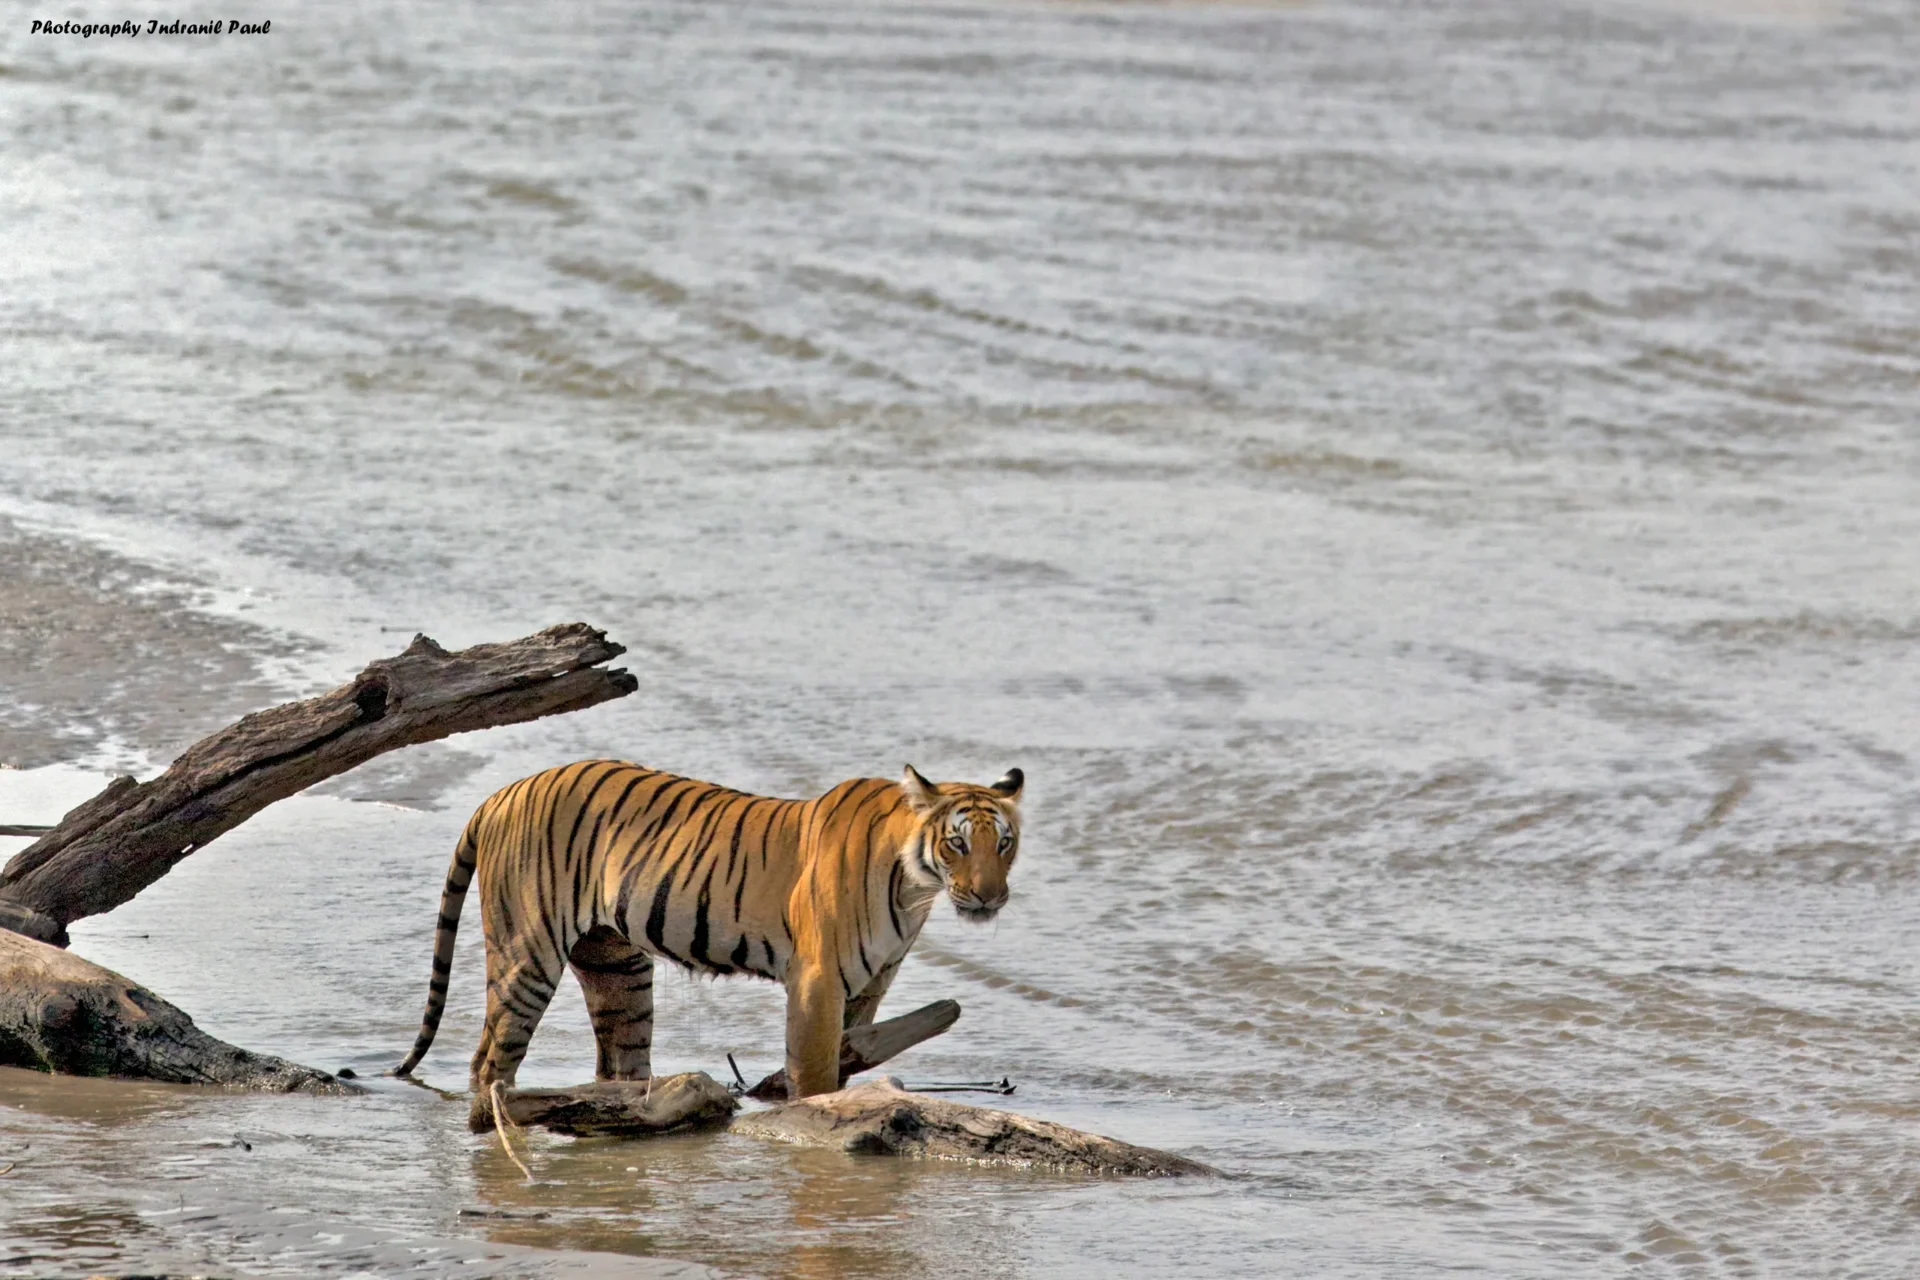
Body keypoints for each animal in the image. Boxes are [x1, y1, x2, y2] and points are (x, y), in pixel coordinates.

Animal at [392, 759, 1024, 1128]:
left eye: (1005, 843)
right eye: (958, 844)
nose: (991, 897)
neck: (914, 888)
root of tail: (500, 794)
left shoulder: (868, 987)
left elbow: (852, 1054)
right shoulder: (817, 982)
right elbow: (816, 1072)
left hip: (618, 968)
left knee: (619, 1062)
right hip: (527, 954)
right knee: (489, 1060)